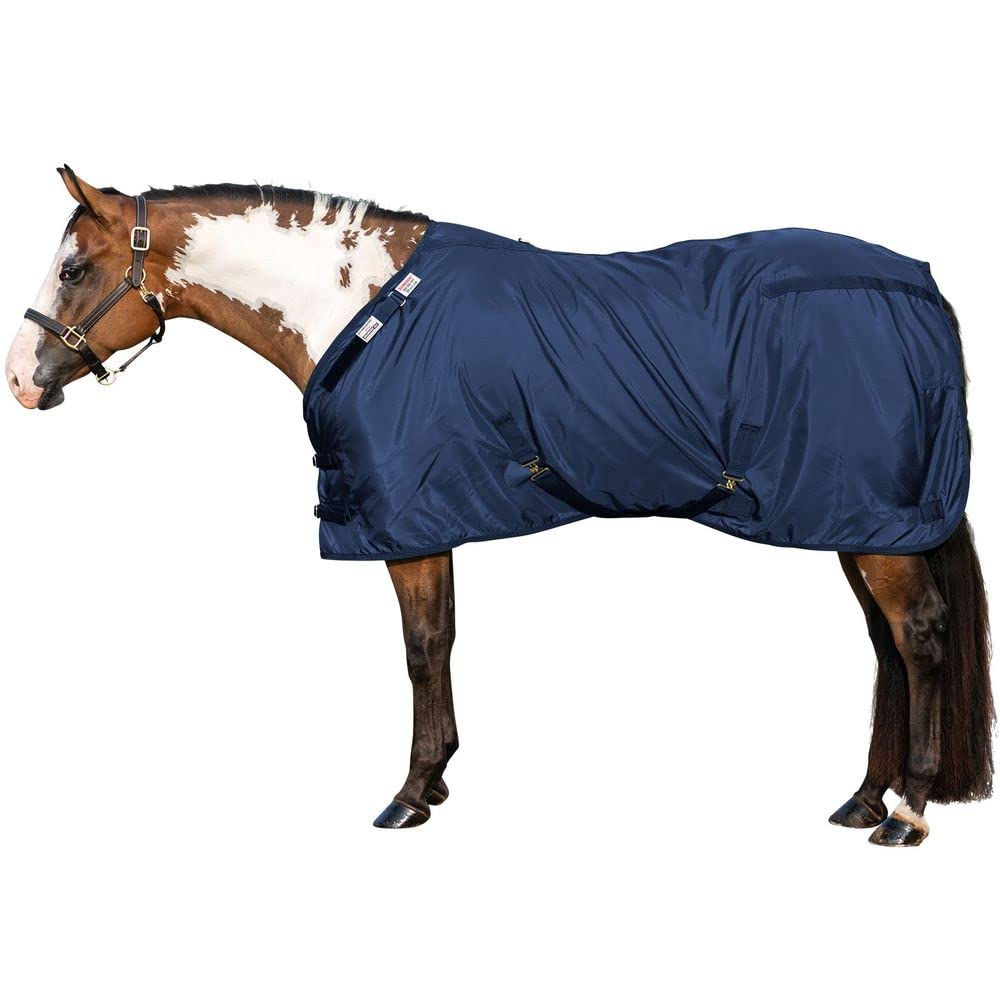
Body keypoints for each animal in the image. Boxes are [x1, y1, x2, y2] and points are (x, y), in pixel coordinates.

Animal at [7, 167, 993, 844]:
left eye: (73, 268)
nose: (20, 380)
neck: (366, 310)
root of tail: (921, 289)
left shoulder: (406, 520)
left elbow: (419, 649)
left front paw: (410, 795)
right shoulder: (431, 516)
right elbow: (441, 642)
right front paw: (437, 779)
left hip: (875, 527)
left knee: (920, 639)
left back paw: (905, 811)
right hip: (857, 523)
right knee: (887, 648)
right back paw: (863, 797)